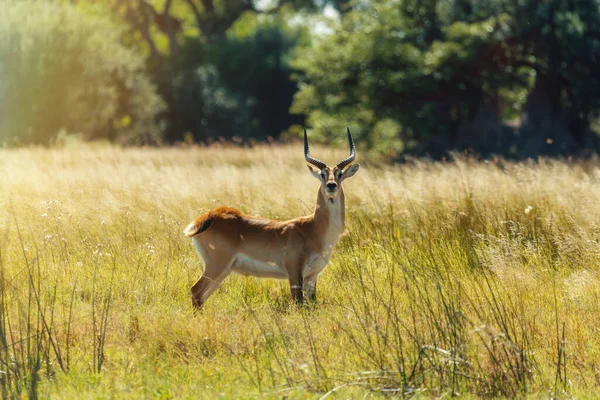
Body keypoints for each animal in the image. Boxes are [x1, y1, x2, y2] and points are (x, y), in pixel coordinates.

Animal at [184, 128, 360, 310]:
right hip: (217, 265)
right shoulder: (294, 272)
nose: (331, 185)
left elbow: (312, 303)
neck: (312, 229)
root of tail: (211, 216)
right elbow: (298, 303)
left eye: (340, 174)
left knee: (202, 297)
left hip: (224, 271)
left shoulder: (312, 276)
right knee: (195, 290)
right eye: (322, 174)